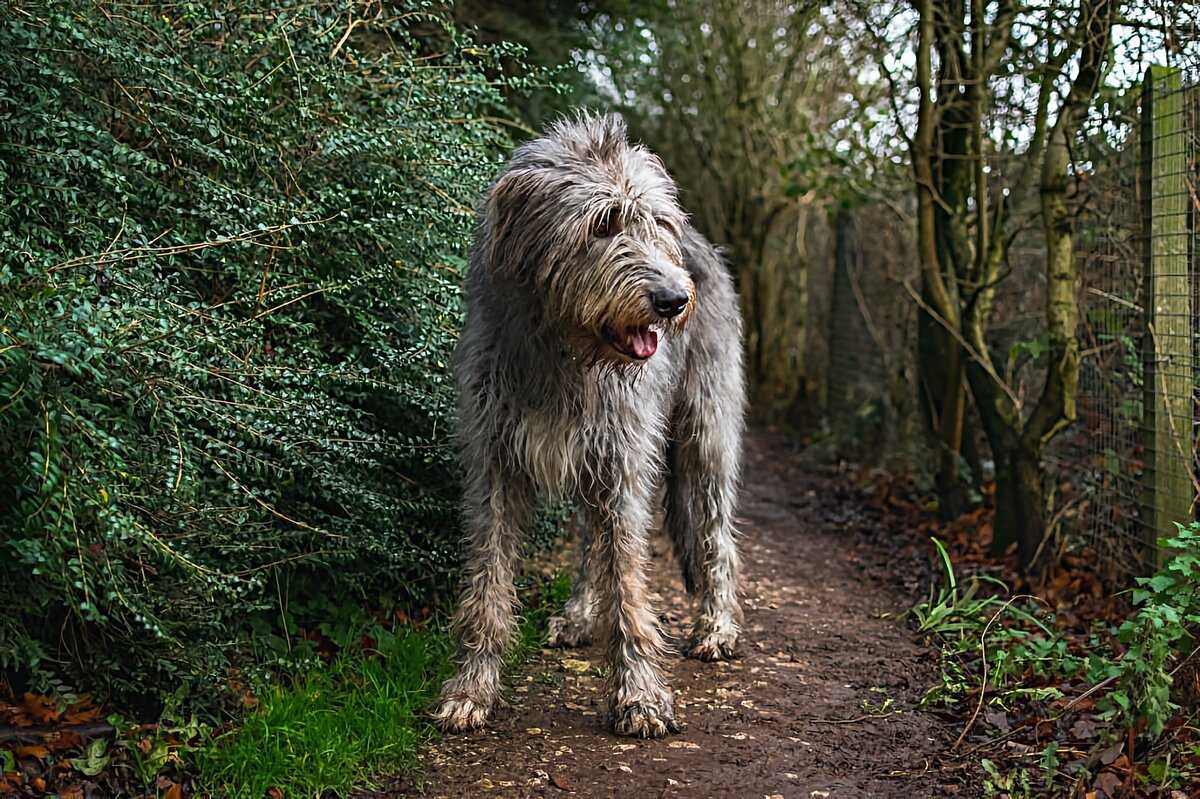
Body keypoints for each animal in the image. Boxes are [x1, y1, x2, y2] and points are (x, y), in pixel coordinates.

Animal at [436, 110, 744, 734]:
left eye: (656, 223)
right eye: (602, 225)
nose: (674, 300)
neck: (563, 352)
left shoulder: (623, 459)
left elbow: (628, 580)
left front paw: (640, 694)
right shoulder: (494, 462)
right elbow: (489, 579)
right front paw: (473, 687)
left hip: (707, 432)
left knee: (716, 532)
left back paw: (717, 627)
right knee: (588, 542)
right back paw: (580, 614)